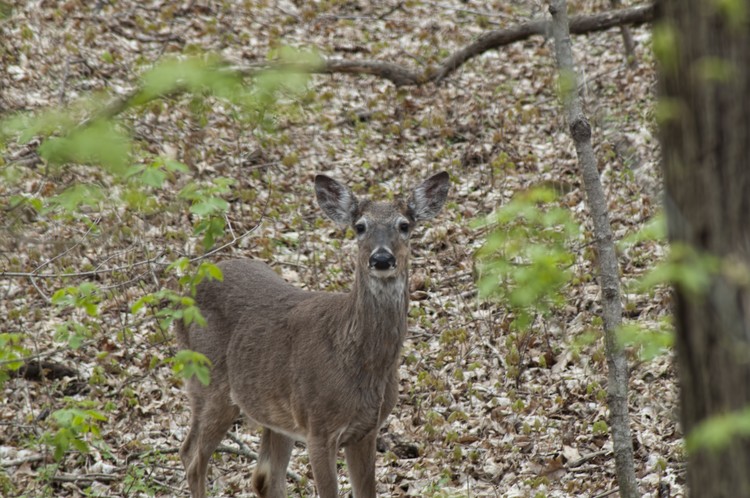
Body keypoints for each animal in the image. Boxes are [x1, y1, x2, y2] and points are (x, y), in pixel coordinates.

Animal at [173, 172, 450, 498]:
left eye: (404, 225)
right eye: (360, 226)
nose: (382, 258)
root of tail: (187, 291)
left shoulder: (366, 430)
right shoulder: (318, 428)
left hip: (272, 411)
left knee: (263, 476)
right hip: (209, 383)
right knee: (192, 457)